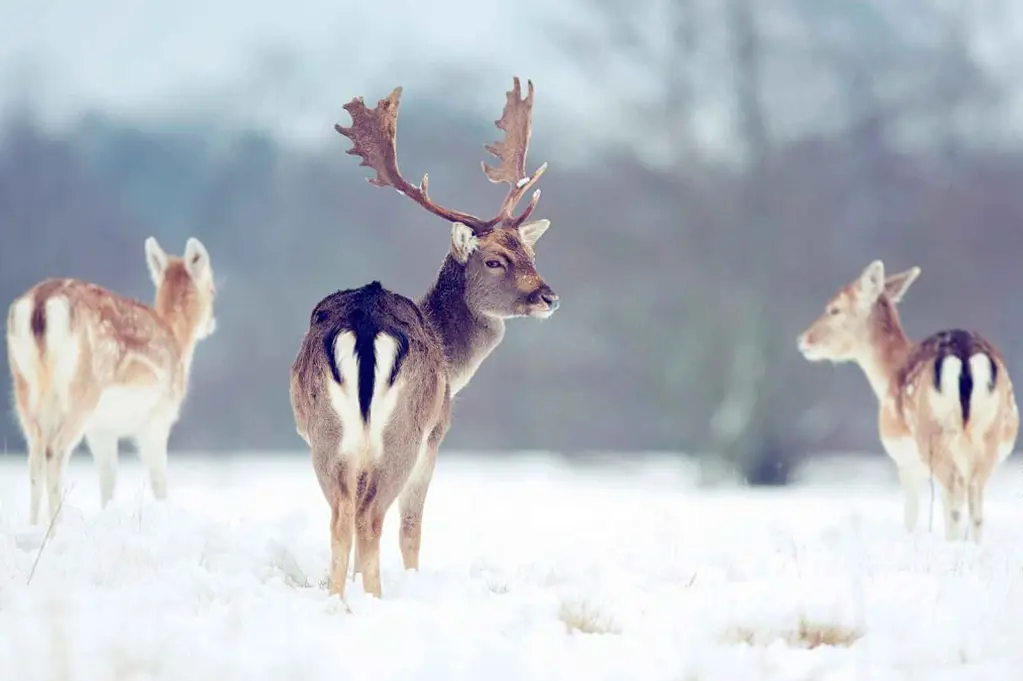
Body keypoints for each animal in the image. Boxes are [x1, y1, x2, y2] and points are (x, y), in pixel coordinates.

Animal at [5, 236, 215, 521]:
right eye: (213, 289)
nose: (212, 323)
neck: (178, 340)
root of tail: (40, 302)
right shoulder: (158, 416)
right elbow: (158, 479)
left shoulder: (102, 428)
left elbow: (108, 479)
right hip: (80, 390)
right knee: (54, 451)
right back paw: (56, 524)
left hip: (25, 387)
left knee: (34, 456)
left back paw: (34, 526)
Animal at [288, 78, 560, 601]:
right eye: (494, 260)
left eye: (530, 252)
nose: (549, 296)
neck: (452, 358)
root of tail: (365, 323)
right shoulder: (437, 434)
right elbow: (412, 527)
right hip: (404, 434)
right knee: (373, 518)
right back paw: (376, 600)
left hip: (325, 435)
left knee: (341, 518)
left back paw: (339, 601)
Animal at [797, 259, 1014, 539]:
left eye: (834, 309)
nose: (803, 340)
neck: (888, 373)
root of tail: (965, 356)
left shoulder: (903, 459)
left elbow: (910, 516)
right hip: (989, 433)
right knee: (975, 499)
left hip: (933, 436)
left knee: (955, 493)